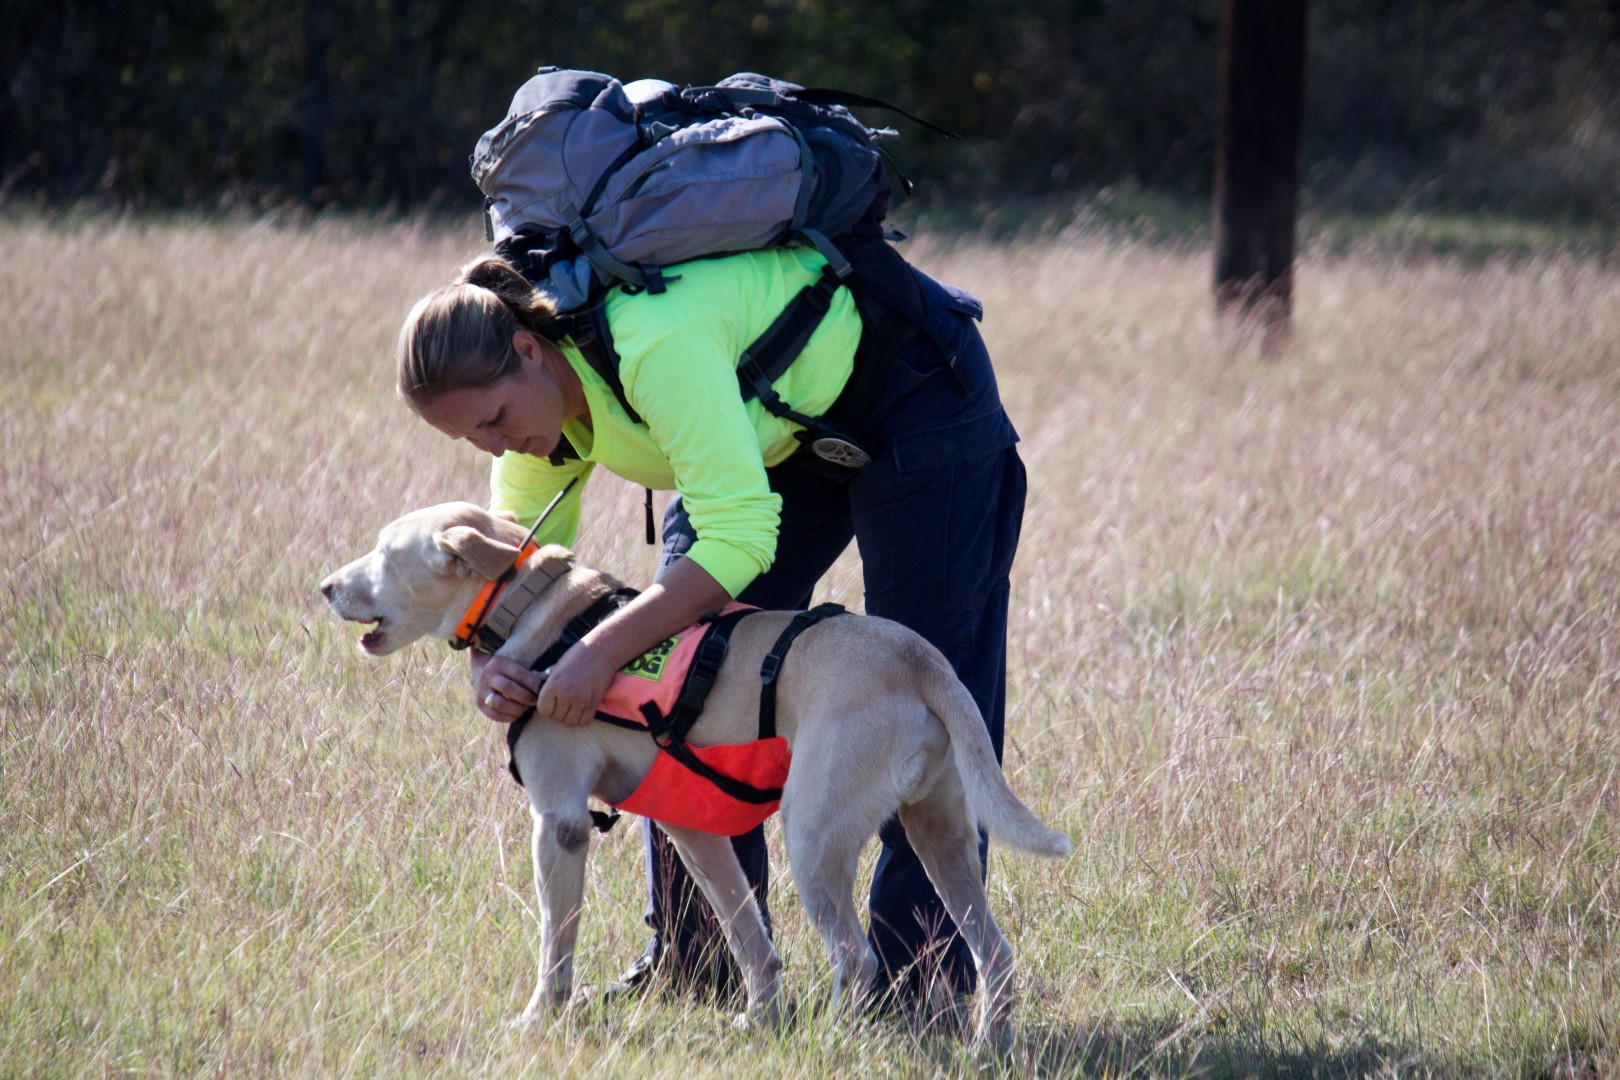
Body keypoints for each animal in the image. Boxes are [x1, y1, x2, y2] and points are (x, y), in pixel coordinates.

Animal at [320, 501, 1069, 1042]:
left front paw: (538, 1020)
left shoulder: (559, 824)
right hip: (939, 833)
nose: (324, 587)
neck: (531, 608)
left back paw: (832, 1041)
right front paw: (760, 1021)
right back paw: (988, 1047)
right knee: (993, 952)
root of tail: (919, 658)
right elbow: (749, 937)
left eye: (385, 553)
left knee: (856, 956)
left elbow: (554, 947)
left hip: (813, 837)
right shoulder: (692, 830)